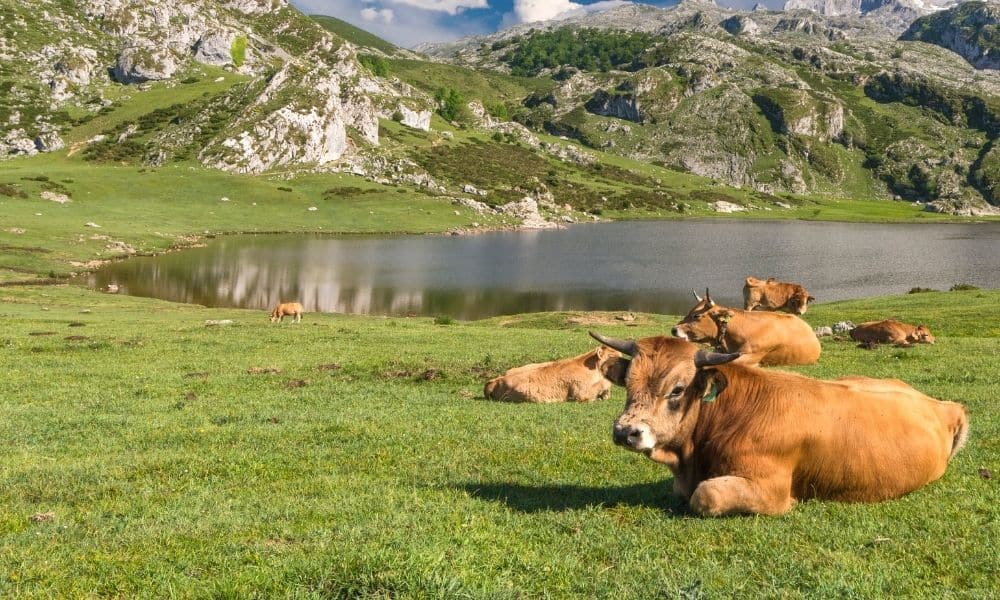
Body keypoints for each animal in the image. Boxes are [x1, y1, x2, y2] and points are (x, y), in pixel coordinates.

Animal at [584, 330, 968, 516]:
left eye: (677, 389)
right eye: (628, 382)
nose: (626, 431)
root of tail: (943, 406)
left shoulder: (769, 487)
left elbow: (705, 495)